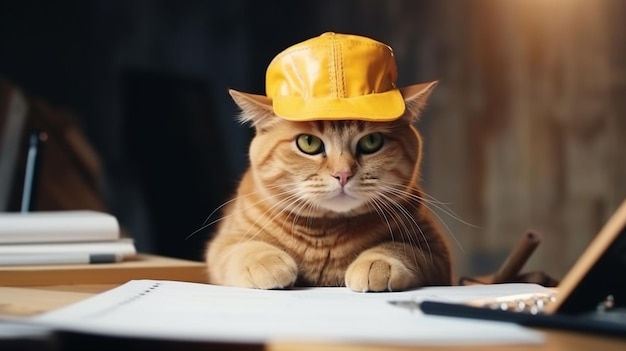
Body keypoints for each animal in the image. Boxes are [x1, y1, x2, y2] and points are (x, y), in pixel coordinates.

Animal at [204, 32, 448, 292]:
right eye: (309, 142)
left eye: (371, 141)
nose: (343, 174)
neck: (326, 235)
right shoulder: (223, 244)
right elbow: (240, 249)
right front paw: (265, 261)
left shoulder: (437, 253)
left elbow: (401, 248)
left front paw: (377, 263)